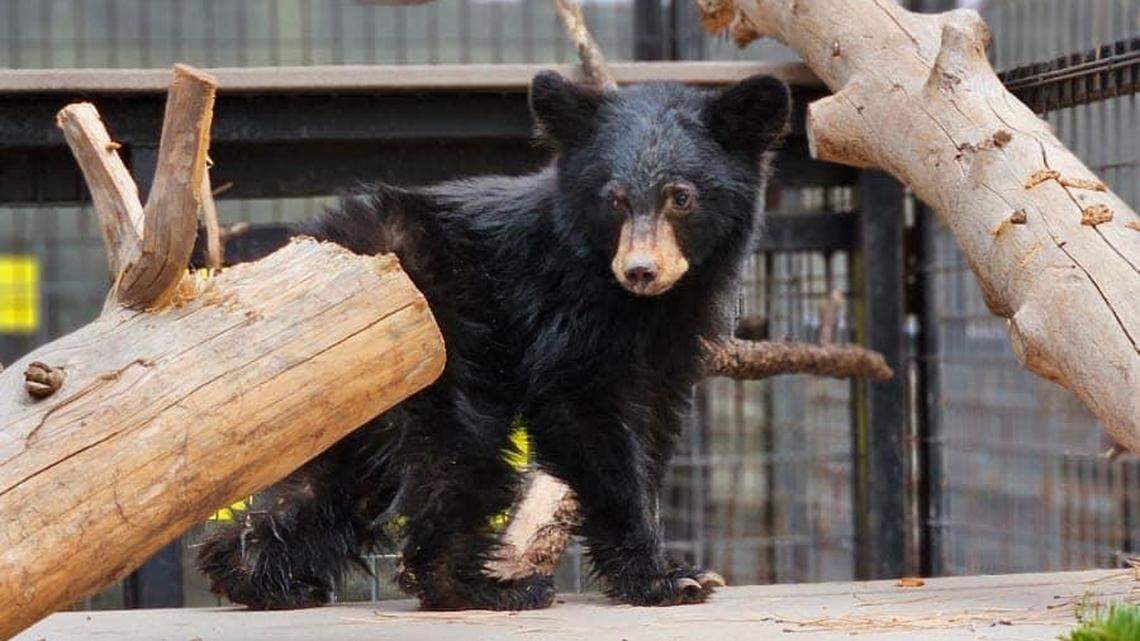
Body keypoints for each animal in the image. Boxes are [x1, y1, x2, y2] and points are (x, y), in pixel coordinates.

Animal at [196, 70, 790, 611]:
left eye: (681, 197)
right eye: (615, 200)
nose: (641, 270)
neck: (641, 305)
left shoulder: (672, 334)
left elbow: (649, 419)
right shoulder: (565, 308)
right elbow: (579, 408)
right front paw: (668, 578)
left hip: (351, 376)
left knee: (339, 476)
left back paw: (257, 576)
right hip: (436, 333)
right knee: (459, 451)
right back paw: (479, 587)